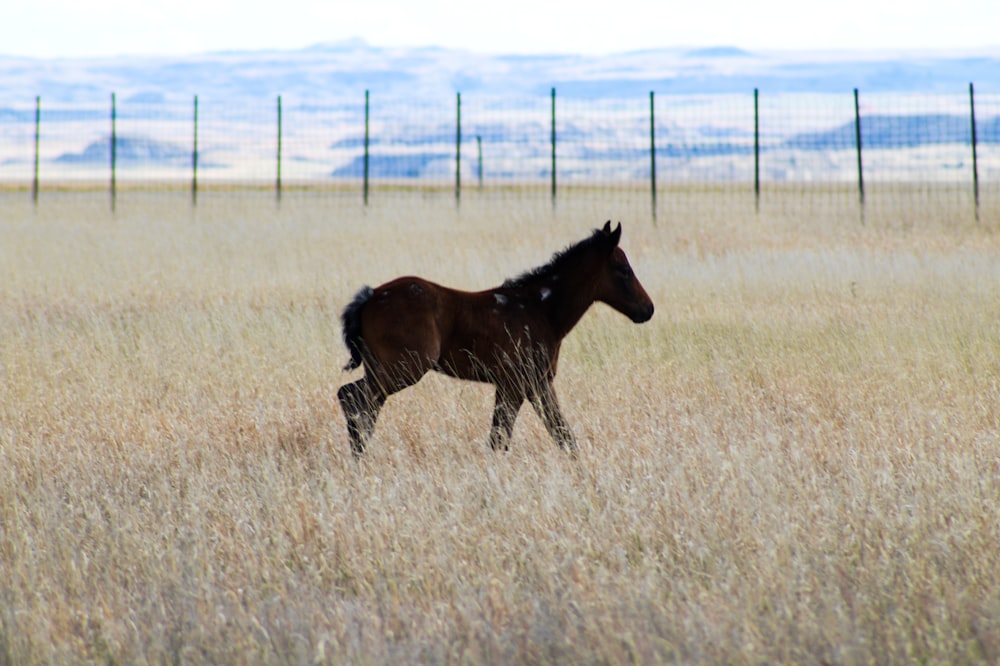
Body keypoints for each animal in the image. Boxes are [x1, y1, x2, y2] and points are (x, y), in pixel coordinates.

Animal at [338, 220, 656, 454]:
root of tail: (370, 296)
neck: (541, 310)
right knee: (353, 400)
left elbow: (561, 435)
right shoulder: (515, 383)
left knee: (361, 406)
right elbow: (500, 440)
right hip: (403, 368)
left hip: (383, 370)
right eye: (623, 270)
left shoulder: (536, 383)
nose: (648, 309)